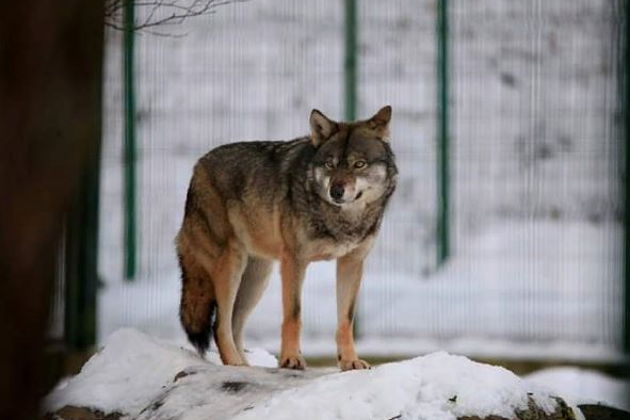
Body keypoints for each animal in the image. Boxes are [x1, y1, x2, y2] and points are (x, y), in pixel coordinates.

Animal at [175, 106, 398, 370]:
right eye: (330, 164)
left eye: (359, 164)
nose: (336, 191)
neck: (342, 219)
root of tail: (197, 167)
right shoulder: (294, 261)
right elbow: (294, 315)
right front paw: (291, 359)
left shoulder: (351, 263)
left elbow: (346, 319)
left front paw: (350, 361)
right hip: (231, 266)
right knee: (219, 325)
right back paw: (236, 366)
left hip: (257, 278)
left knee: (233, 325)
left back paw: (247, 367)